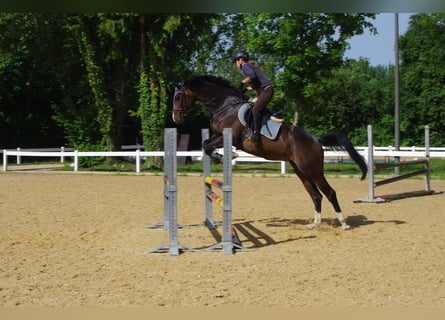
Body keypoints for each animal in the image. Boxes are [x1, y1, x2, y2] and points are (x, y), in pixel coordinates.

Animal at [172, 75, 366, 230]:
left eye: (178, 96)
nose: (176, 118)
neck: (224, 105)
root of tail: (316, 139)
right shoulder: (218, 136)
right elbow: (205, 144)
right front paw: (221, 157)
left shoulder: (228, 137)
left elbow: (207, 146)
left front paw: (227, 156)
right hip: (300, 170)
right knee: (316, 195)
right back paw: (314, 224)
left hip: (313, 170)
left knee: (329, 192)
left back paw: (343, 223)